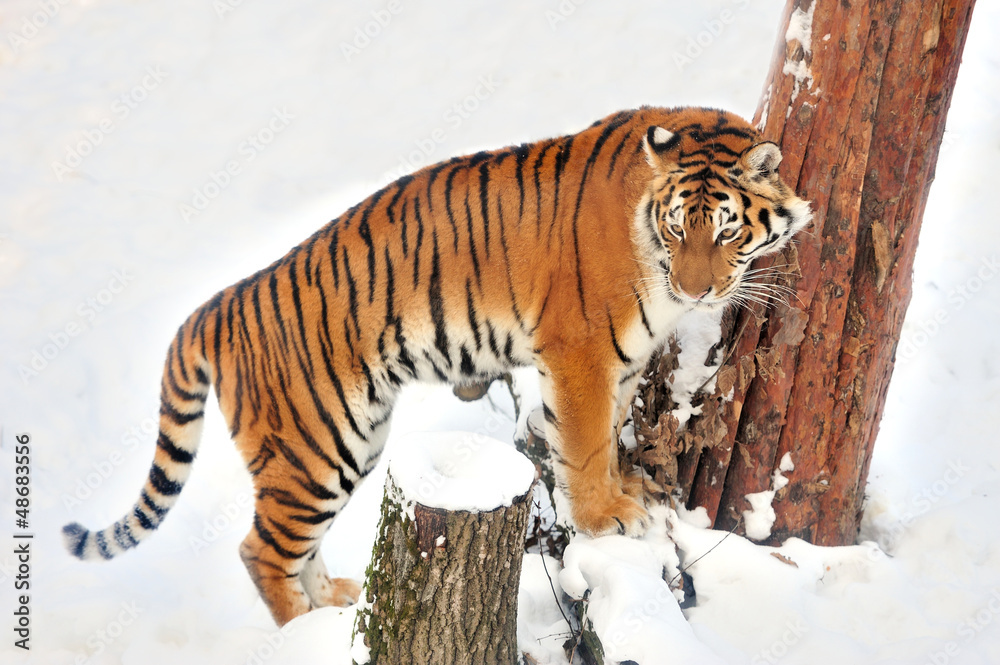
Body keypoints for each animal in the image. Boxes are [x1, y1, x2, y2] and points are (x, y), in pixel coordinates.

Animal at [62, 106, 811, 626]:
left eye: (726, 230)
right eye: (680, 228)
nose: (695, 291)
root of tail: (219, 302)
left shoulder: (622, 359)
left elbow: (609, 435)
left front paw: (629, 490)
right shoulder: (581, 352)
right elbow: (584, 441)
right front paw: (605, 517)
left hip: (349, 442)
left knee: (294, 543)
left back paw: (332, 602)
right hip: (313, 447)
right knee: (260, 549)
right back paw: (300, 628)